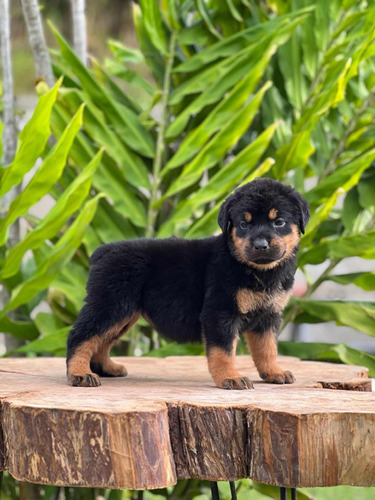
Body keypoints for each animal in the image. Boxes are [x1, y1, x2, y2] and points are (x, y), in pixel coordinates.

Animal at [66, 178, 310, 388]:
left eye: (279, 222)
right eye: (243, 224)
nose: (260, 245)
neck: (257, 271)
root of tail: (103, 251)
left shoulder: (268, 316)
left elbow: (267, 349)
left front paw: (274, 372)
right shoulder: (220, 312)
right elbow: (223, 351)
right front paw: (230, 378)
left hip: (123, 313)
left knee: (101, 340)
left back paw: (107, 368)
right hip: (111, 303)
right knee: (81, 335)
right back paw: (80, 374)